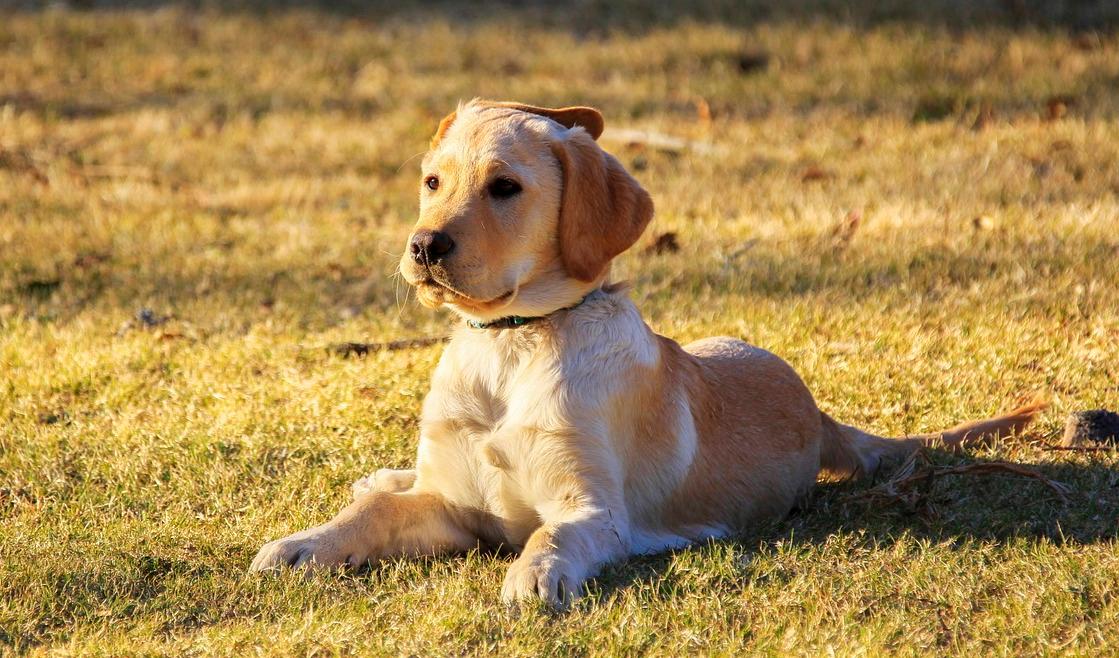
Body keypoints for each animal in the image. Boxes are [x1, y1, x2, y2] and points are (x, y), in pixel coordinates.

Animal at [249, 99, 1042, 608]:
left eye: (505, 187)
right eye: (432, 181)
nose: (422, 246)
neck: (513, 344)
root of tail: (819, 415)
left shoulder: (593, 510)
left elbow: (552, 536)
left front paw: (534, 576)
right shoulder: (450, 504)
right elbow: (375, 515)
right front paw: (305, 544)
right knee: (388, 485)